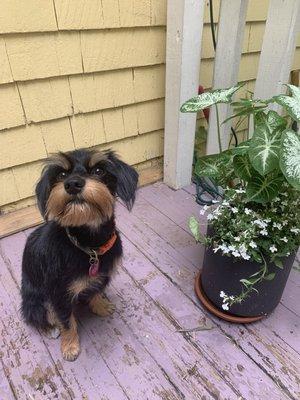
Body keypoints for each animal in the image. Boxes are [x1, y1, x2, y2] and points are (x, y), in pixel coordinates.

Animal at [21, 148, 138, 360]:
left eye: (99, 170)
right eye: (61, 174)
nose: (73, 184)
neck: (89, 246)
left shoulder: (102, 276)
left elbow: (96, 292)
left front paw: (101, 306)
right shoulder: (59, 294)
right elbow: (67, 322)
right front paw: (69, 346)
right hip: (36, 300)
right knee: (36, 316)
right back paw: (50, 329)